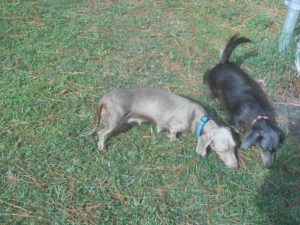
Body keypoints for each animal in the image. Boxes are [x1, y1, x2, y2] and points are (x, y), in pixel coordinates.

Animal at [89, 88, 239, 169]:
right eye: (222, 150)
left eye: (234, 147)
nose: (235, 166)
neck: (197, 117)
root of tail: (105, 98)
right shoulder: (174, 126)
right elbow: (172, 134)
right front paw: (176, 140)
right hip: (113, 121)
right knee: (101, 133)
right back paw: (102, 147)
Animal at [204, 35, 284, 168]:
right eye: (265, 149)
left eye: (276, 150)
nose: (269, 167)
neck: (259, 114)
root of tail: (224, 62)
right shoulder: (235, 124)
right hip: (214, 86)